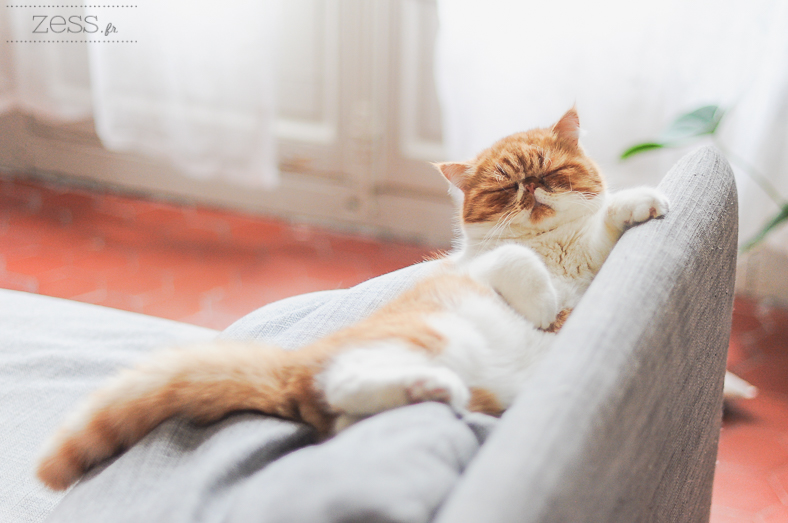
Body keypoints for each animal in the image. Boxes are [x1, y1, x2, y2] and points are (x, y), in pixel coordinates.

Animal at [35, 108, 664, 494]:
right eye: (506, 187)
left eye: (551, 173)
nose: (531, 191)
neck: (553, 249)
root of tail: (293, 367)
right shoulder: (480, 269)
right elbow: (518, 263)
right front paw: (542, 304)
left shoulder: (591, 261)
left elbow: (608, 222)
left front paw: (644, 204)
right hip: (423, 335)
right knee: (342, 387)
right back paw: (431, 386)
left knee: (343, 411)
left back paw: (429, 391)